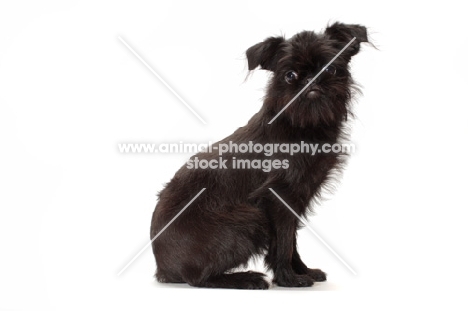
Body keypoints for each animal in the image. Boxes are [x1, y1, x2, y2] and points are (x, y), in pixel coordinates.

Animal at [152, 22, 368, 290]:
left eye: (330, 68)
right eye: (289, 75)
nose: (311, 79)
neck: (303, 126)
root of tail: (161, 267)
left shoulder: (295, 199)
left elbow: (290, 241)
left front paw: (302, 271)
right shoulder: (278, 198)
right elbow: (284, 242)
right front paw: (289, 278)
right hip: (248, 220)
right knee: (198, 279)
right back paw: (245, 278)